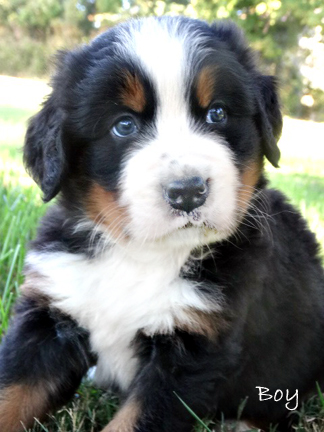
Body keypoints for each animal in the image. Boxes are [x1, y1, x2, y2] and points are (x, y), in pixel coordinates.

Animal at [0, 16, 324, 432]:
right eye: (124, 125)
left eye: (217, 114)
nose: (188, 192)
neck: (140, 255)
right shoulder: (50, 314)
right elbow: (13, 392)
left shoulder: (194, 346)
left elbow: (135, 420)